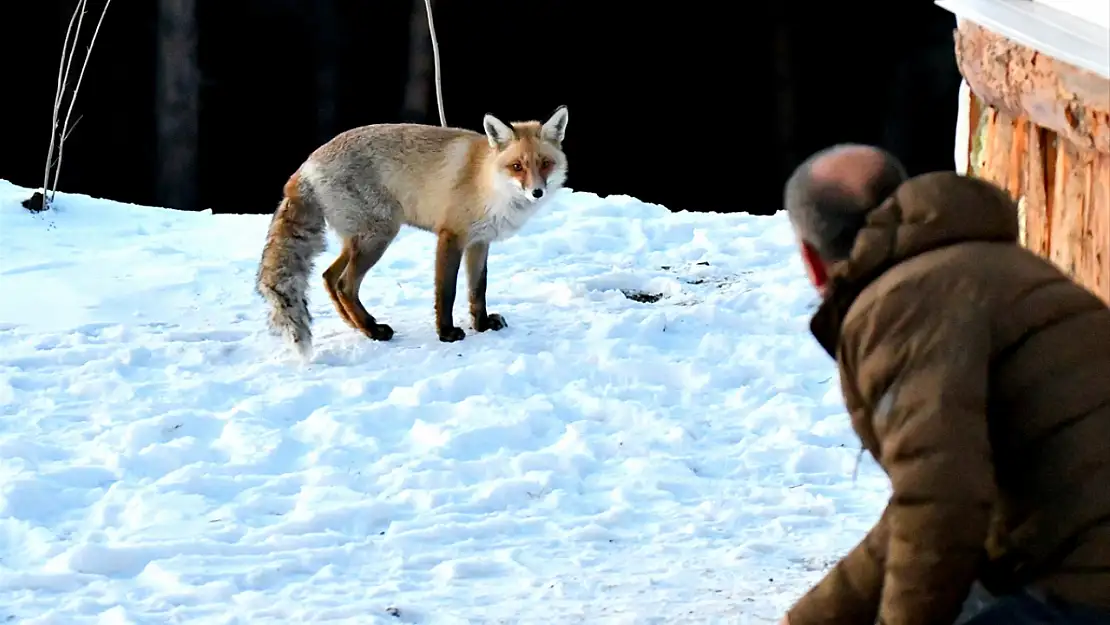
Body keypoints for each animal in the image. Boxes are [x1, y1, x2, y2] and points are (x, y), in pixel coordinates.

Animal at [254, 106, 568, 359]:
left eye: (545, 164)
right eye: (517, 166)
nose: (537, 192)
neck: (488, 183)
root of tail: (306, 165)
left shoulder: (480, 242)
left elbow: (477, 290)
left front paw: (481, 326)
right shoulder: (451, 236)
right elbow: (447, 292)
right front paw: (446, 333)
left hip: (359, 241)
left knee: (329, 277)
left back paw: (360, 326)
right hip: (378, 237)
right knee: (344, 284)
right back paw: (372, 330)